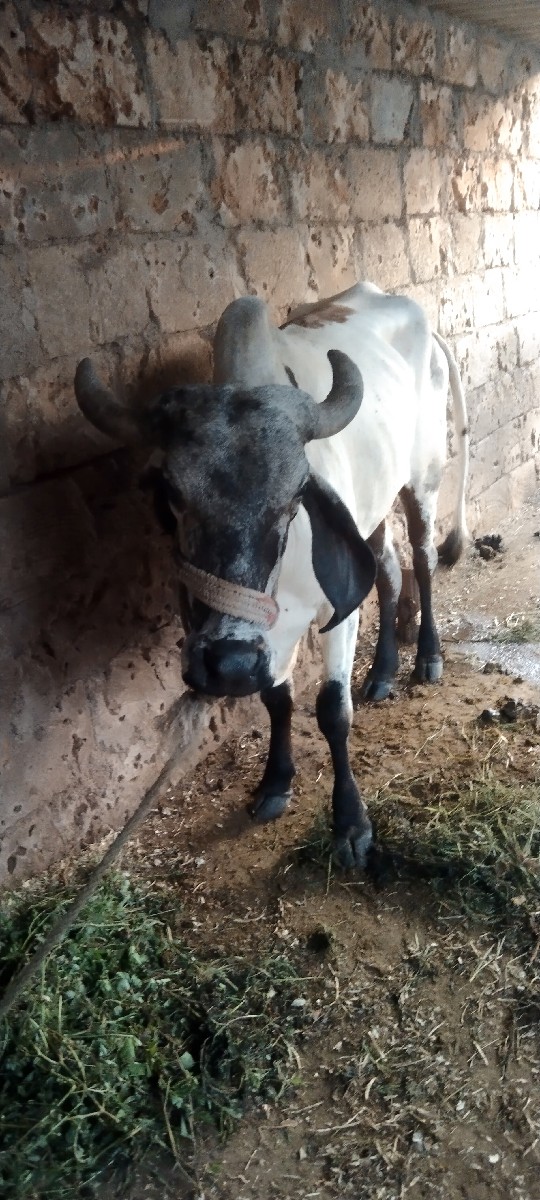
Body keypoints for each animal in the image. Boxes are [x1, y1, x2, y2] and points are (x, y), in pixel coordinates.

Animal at [73, 280, 469, 869]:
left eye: (295, 495)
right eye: (171, 494)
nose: (228, 665)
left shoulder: (334, 614)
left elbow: (332, 711)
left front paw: (350, 823)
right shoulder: (267, 637)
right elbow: (276, 700)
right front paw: (276, 783)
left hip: (423, 477)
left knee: (422, 560)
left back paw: (427, 657)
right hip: (372, 509)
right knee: (389, 573)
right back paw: (381, 673)